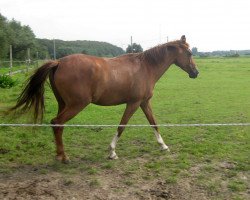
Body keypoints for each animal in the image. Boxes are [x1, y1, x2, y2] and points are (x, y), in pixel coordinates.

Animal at [11, 35, 199, 162]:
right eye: (189, 53)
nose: (196, 73)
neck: (146, 67)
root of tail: (58, 62)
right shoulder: (133, 103)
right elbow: (122, 126)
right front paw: (112, 152)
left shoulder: (144, 103)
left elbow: (154, 123)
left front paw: (163, 146)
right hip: (76, 105)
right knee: (57, 123)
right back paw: (64, 157)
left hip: (63, 104)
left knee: (59, 126)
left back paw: (59, 155)